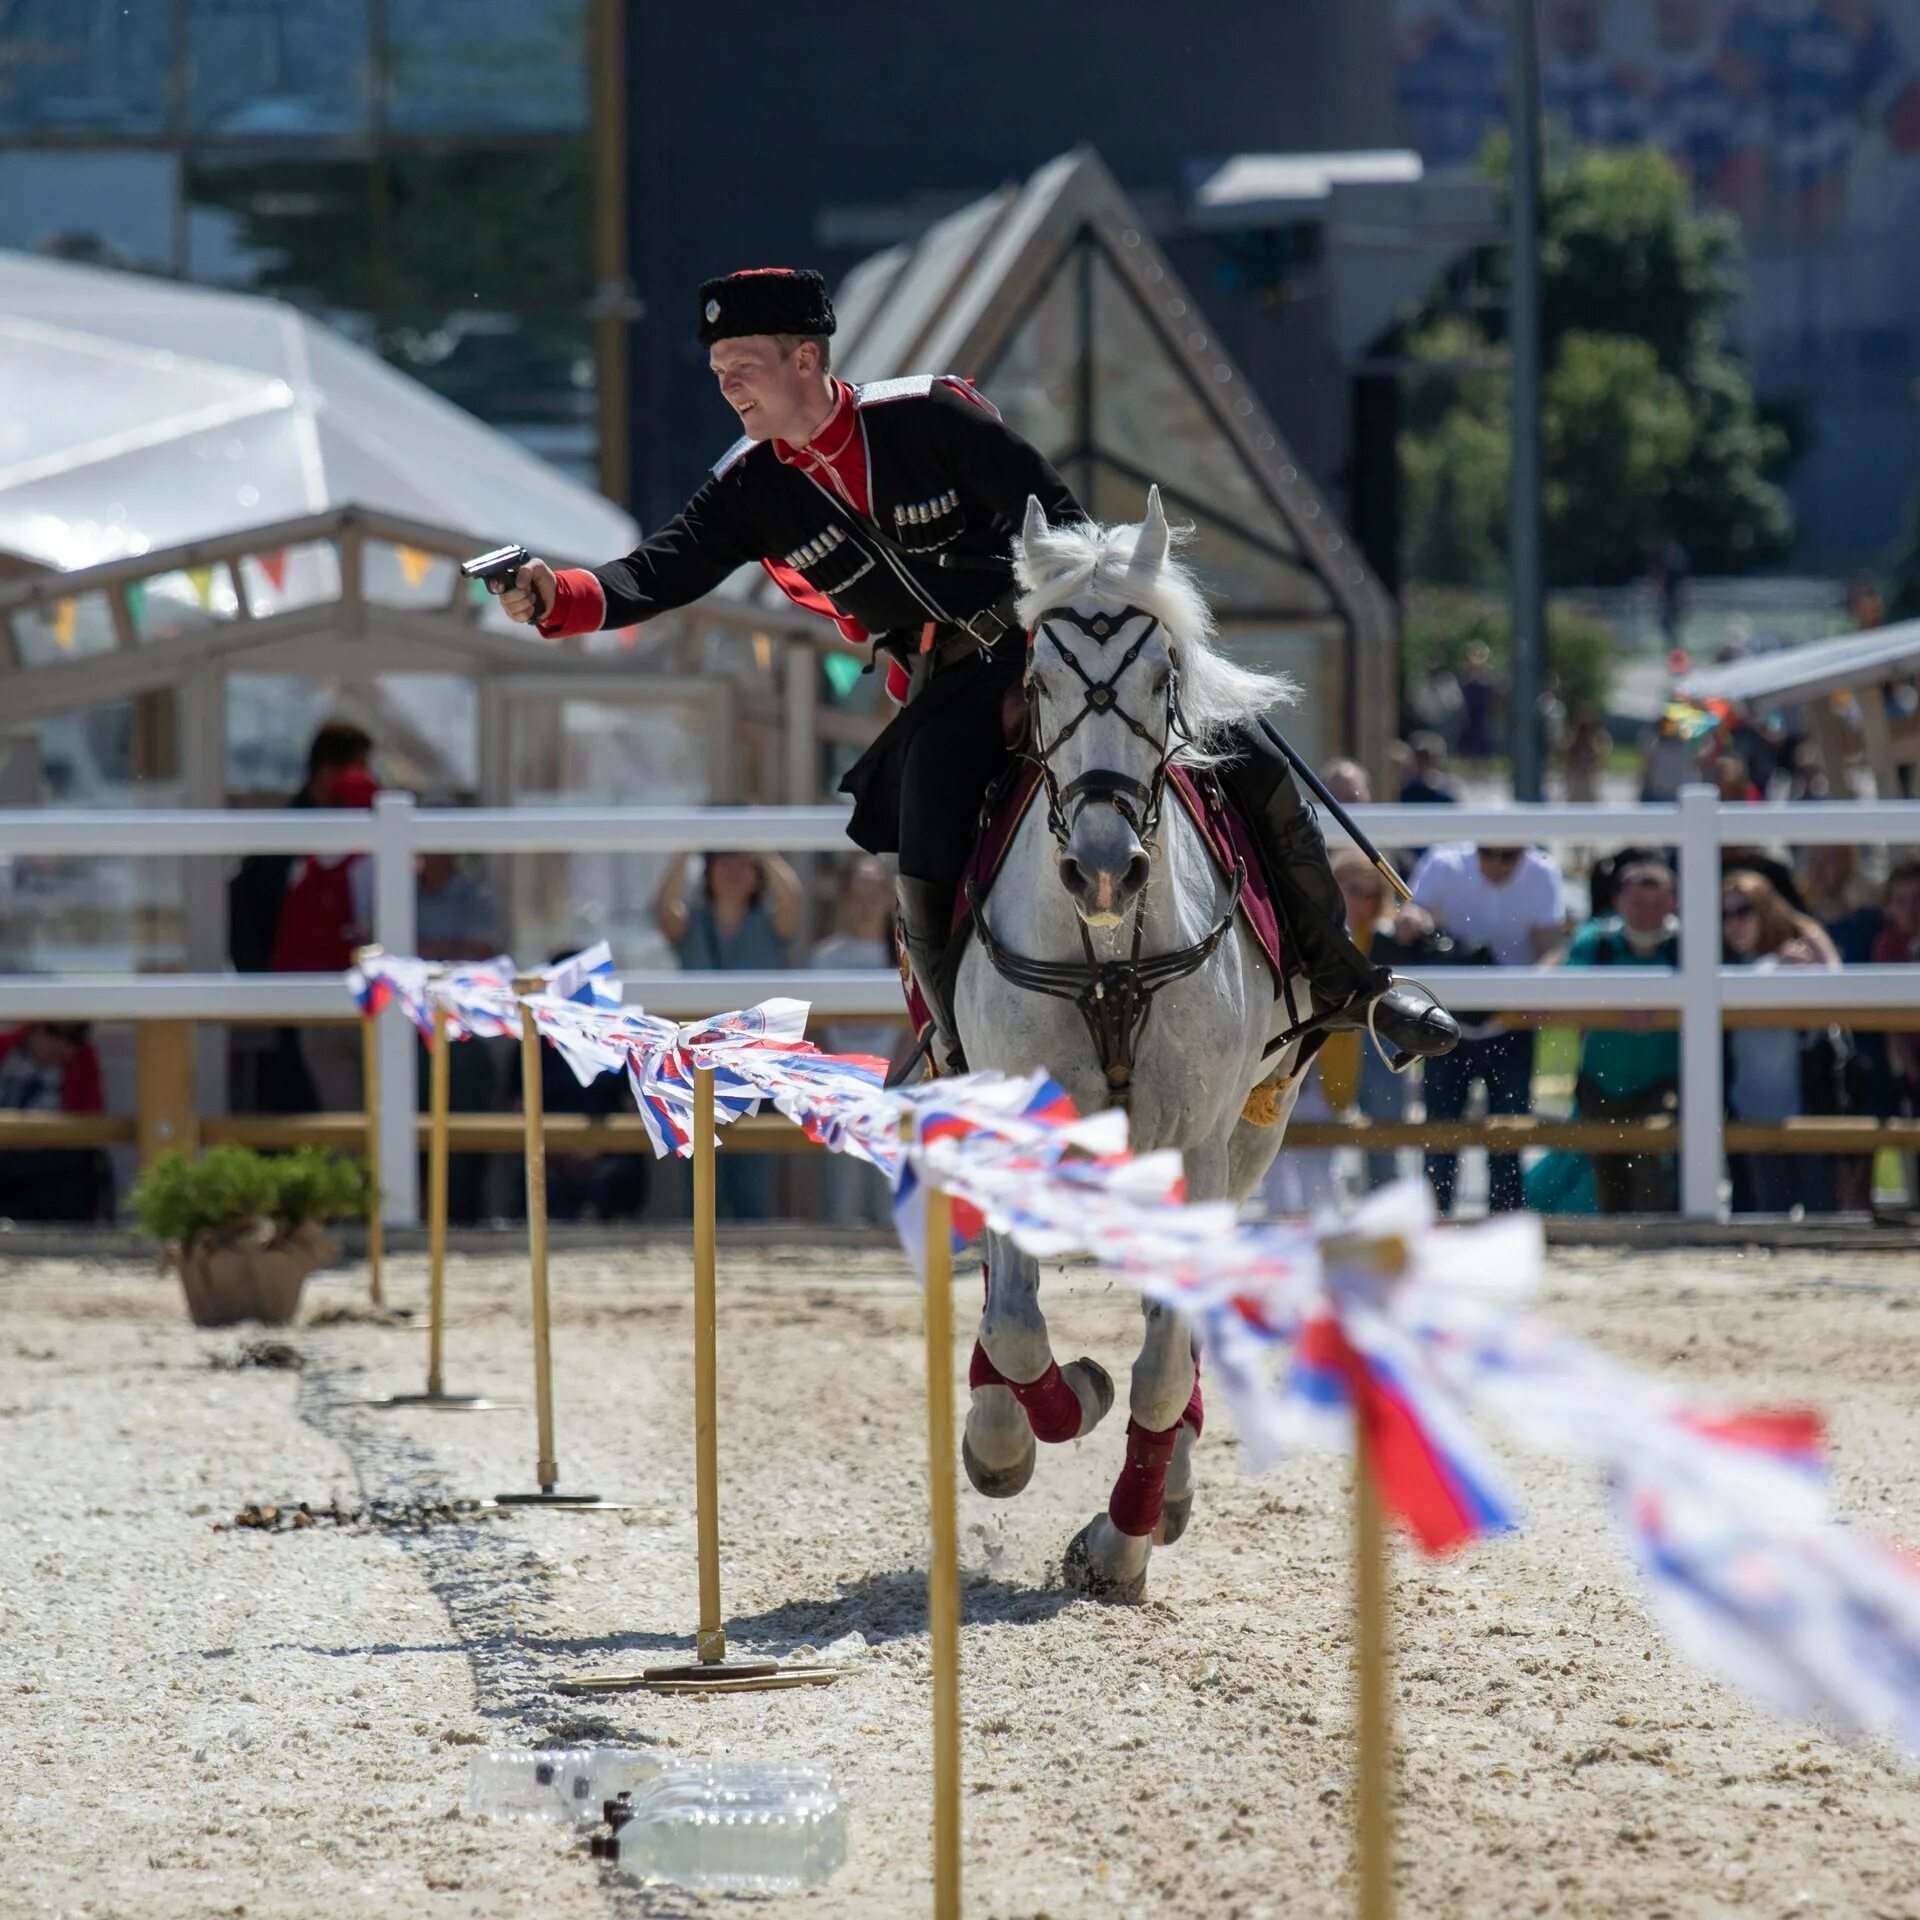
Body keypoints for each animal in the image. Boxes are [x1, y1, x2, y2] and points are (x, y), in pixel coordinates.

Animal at [952, 487, 1313, 1597]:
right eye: (1037, 679)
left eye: (1164, 677)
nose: (1106, 868)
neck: (1109, 955)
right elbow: (1015, 1326)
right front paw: (1038, 1418)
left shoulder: (1198, 1147)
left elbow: (1160, 1362)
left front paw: (1122, 1536)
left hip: (1249, 1141)